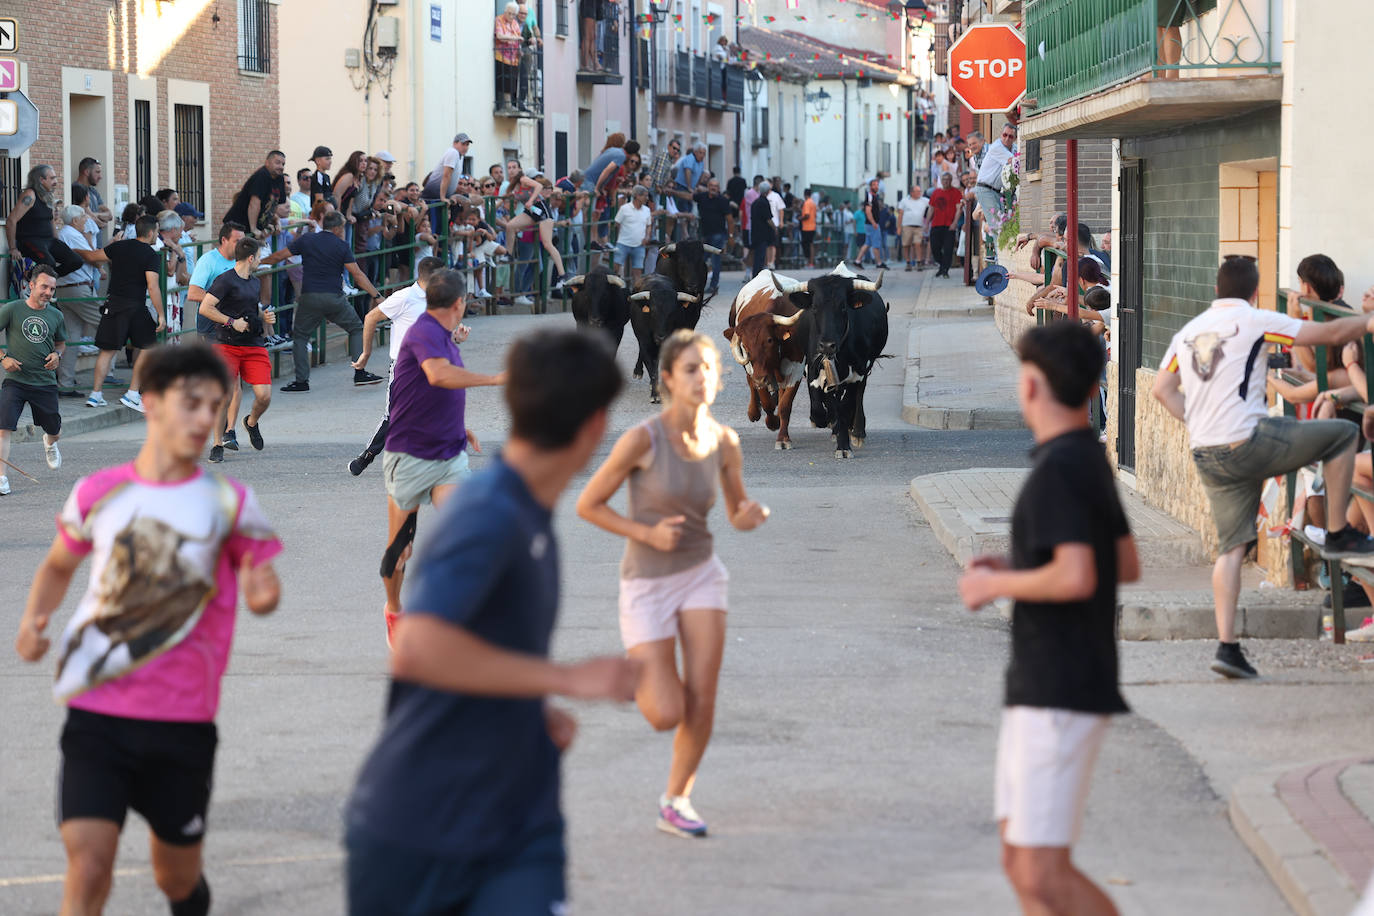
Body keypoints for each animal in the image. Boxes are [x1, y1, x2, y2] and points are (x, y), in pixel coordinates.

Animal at [769, 269, 884, 461]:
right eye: (815, 308)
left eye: (843, 307)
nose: (827, 345)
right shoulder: (812, 368)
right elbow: (819, 405)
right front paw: (825, 420)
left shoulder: (857, 373)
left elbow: (845, 407)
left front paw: (844, 445)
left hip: (867, 365)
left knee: (858, 394)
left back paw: (857, 432)